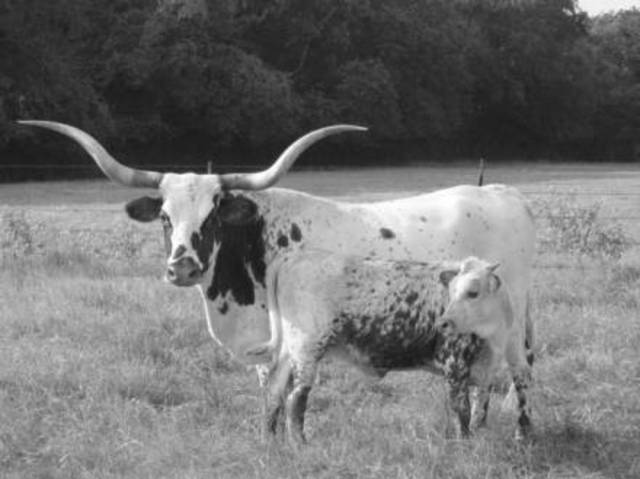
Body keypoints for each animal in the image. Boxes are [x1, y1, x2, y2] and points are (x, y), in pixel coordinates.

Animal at [245, 250, 503, 444]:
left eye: (475, 291)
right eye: (466, 291)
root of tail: (293, 257)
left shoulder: (482, 371)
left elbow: (478, 406)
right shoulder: (456, 362)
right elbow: (462, 408)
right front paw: (464, 444)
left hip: (289, 351)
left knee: (274, 389)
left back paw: (269, 440)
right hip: (306, 348)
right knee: (295, 398)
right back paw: (299, 444)